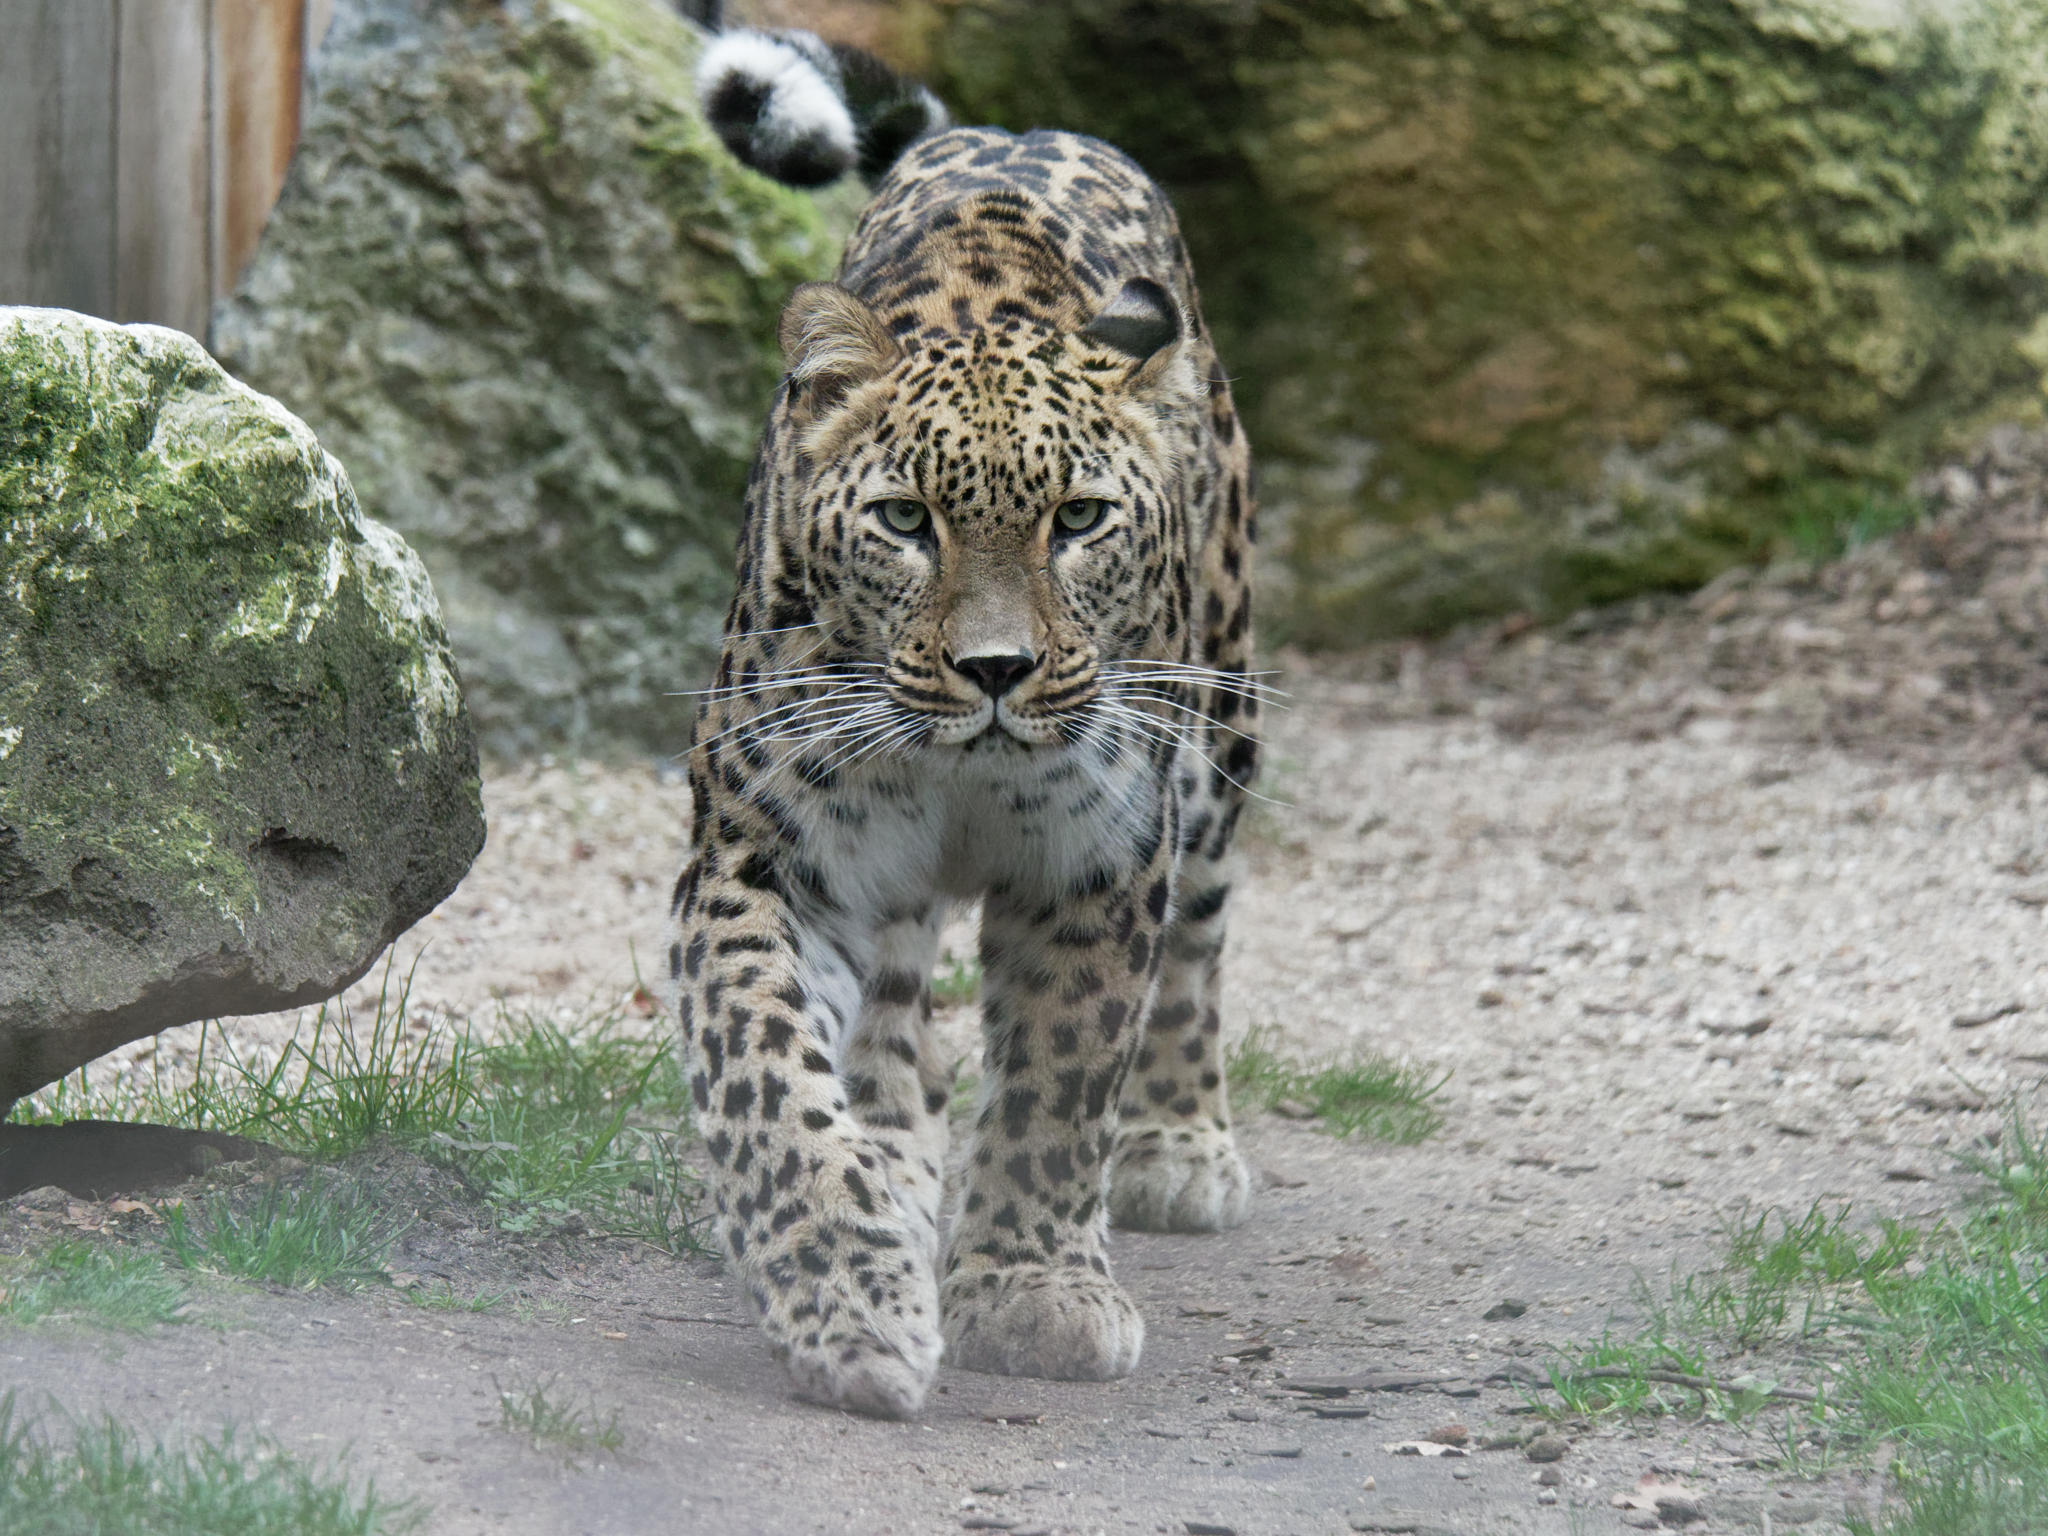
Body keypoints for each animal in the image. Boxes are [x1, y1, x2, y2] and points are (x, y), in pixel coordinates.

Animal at [666, 27, 1264, 1420]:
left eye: (1078, 519)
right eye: (904, 521)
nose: (996, 670)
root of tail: (1009, 129)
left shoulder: (1099, 858)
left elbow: (1061, 1077)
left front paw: (1034, 1291)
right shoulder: (764, 859)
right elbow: (763, 1068)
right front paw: (848, 1295)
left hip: (1217, 723)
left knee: (1200, 938)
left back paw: (1176, 1141)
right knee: (888, 1007)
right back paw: (891, 1158)